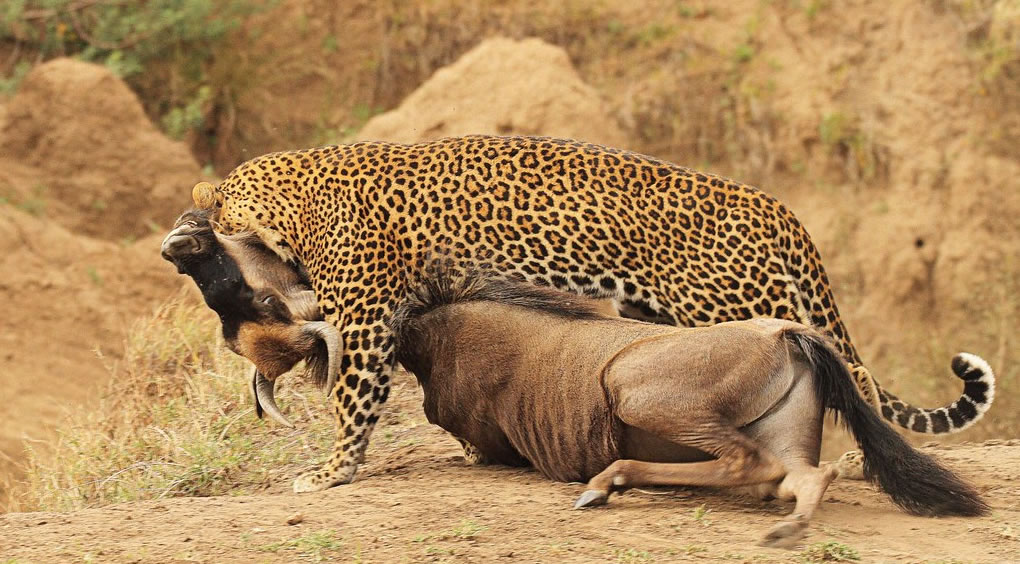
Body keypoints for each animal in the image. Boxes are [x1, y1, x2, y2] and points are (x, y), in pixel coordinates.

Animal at [185, 134, 995, 489]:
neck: (301, 201)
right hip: (661, 311)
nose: (187, 227)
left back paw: (858, 460)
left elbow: (354, 401)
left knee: (839, 378)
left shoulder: (363, 320)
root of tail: (776, 207)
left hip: (737, 299)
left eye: (218, 211)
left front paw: (330, 472)